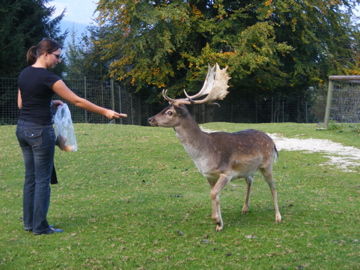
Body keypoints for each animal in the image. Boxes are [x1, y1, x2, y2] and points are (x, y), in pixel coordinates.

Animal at [147, 64, 282, 231]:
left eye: (170, 112)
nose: (150, 119)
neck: (203, 155)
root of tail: (273, 142)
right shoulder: (209, 175)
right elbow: (213, 194)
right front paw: (216, 220)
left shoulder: (226, 173)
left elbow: (213, 194)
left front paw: (218, 221)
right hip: (247, 169)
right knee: (250, 180)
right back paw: (245, 208)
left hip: (267, 165)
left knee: (273, 186)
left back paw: (278, 217)